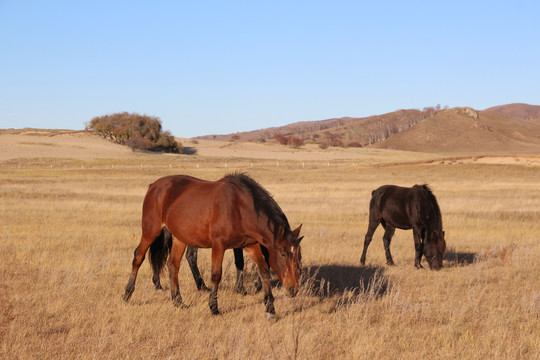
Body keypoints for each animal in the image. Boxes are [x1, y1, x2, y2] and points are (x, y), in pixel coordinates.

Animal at [123, 173, 304, 316]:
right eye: (283, 253)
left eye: (297, 255)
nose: (293, 289)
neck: (239, 208)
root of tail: (154, 186)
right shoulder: (219, 245)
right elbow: (216, 275)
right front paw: (214, 307)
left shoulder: (250, 246)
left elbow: (264, 271)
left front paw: (270, 308)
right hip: (151, 231)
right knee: (138, 257)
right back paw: (127, 294)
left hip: (179, 238)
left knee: (173, 265)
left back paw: (178, 301)